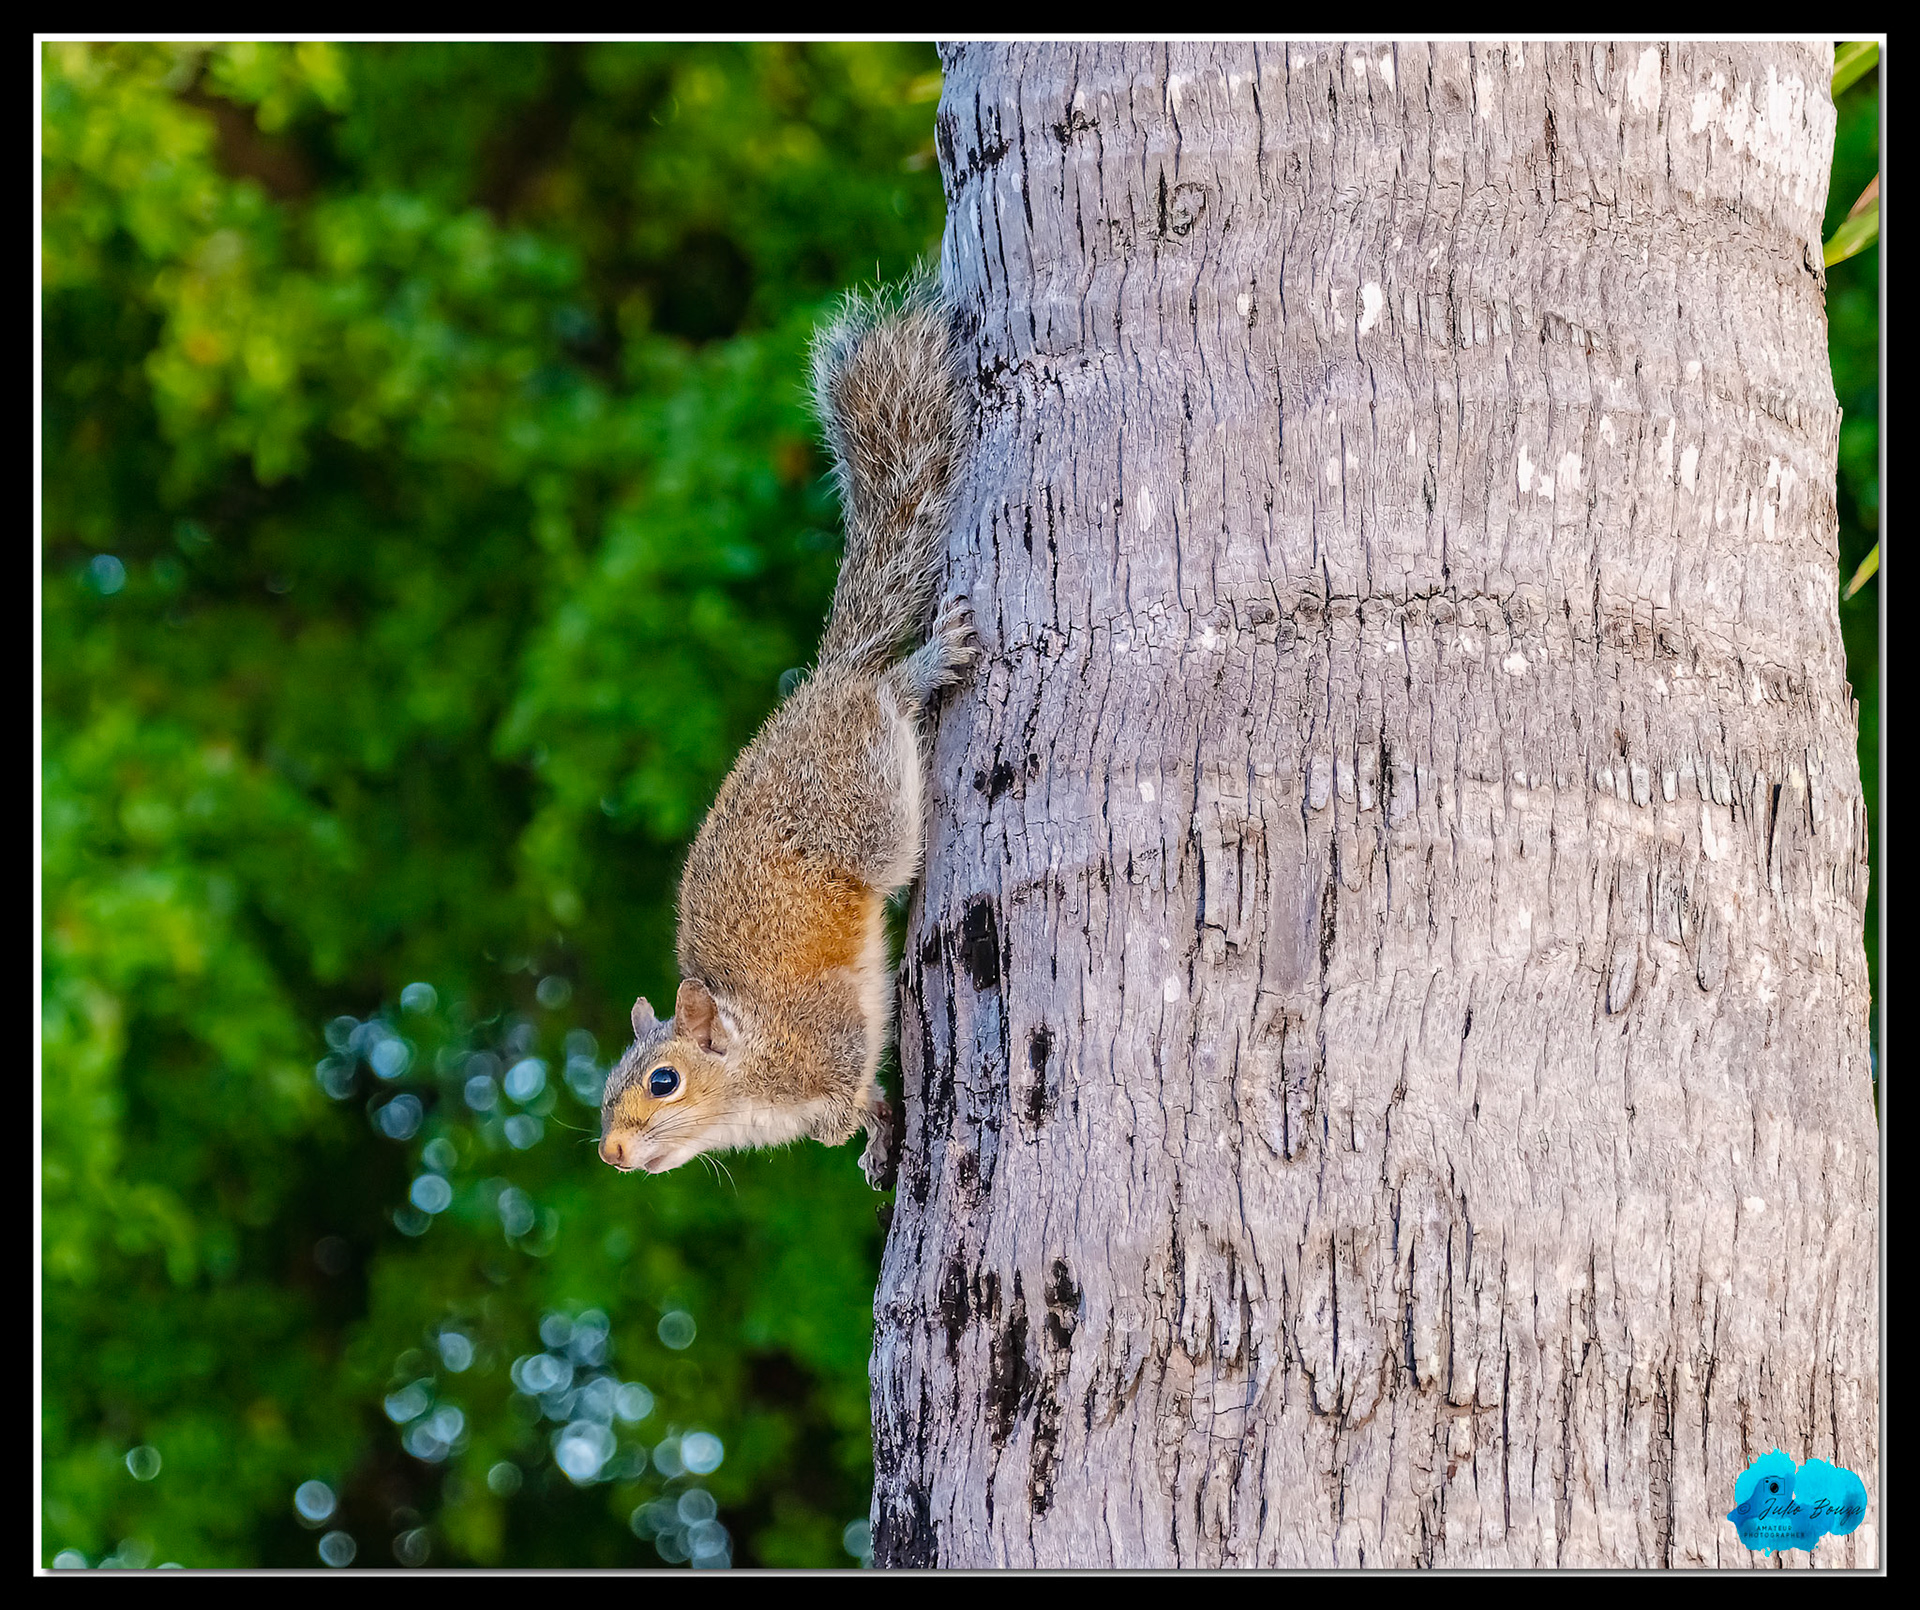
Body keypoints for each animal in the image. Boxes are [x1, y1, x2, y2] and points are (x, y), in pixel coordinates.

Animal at [598, 270, 972, 1191]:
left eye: (664, 1081)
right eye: (607, 1087)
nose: (611, 1152)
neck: (750, 1074)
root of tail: (822, 685)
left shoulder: (826, 1028)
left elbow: (854, 1069)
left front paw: (860, 1121)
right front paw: (867, 1138)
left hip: (865, 801)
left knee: (886, 700)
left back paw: (921, 668)